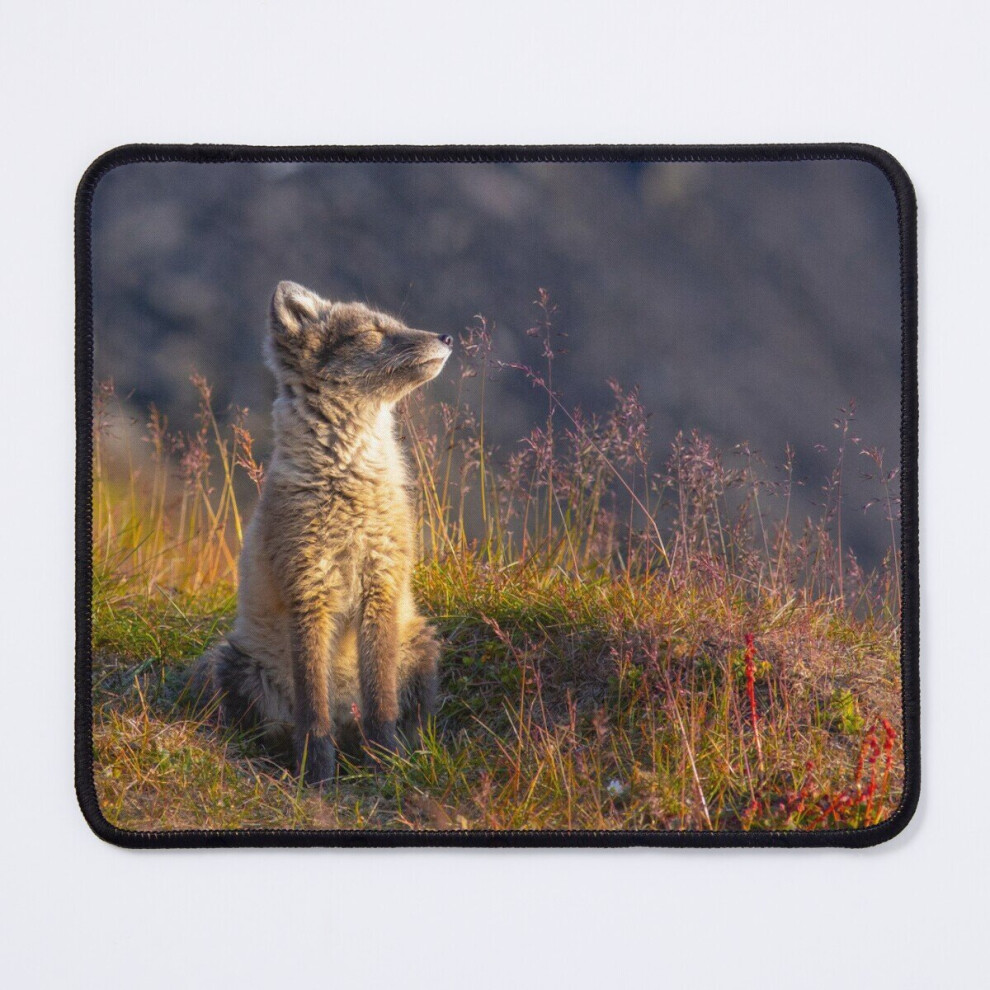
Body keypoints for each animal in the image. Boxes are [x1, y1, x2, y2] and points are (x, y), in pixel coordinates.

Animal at [190, 280, 452, 785]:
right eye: (373, 332)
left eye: (397, 323)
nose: (448, 337)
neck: (348, 476)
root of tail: (346, 714)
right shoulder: (308, 588)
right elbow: (313, 708)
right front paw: (316, 775)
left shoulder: (380, 585)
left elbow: (381, 703)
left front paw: (386, 765)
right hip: (232, 663)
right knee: (275, 728)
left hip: (422, 647)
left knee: (392, 716)